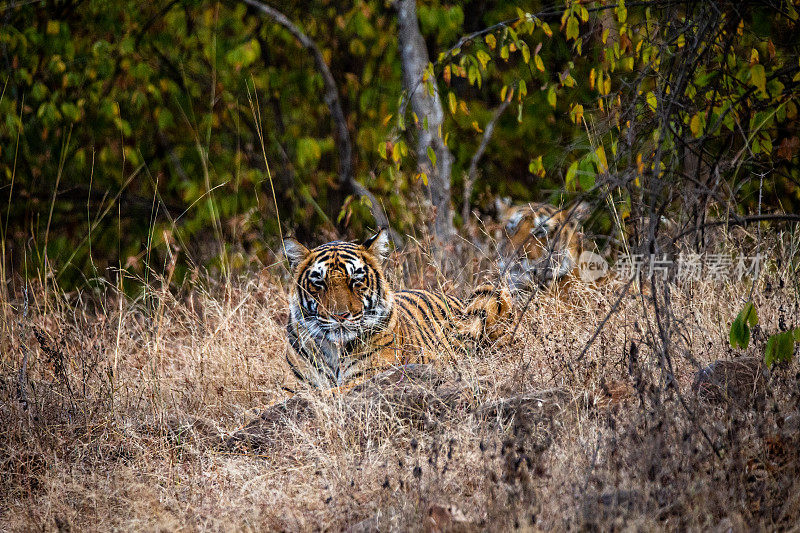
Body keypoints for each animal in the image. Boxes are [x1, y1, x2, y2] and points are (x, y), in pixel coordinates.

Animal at [282, 228, 512, 386]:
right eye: (319, 283)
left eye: (356, 280)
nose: (341, 316)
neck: (334, 351)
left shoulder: (368, 377)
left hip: (491, 292)